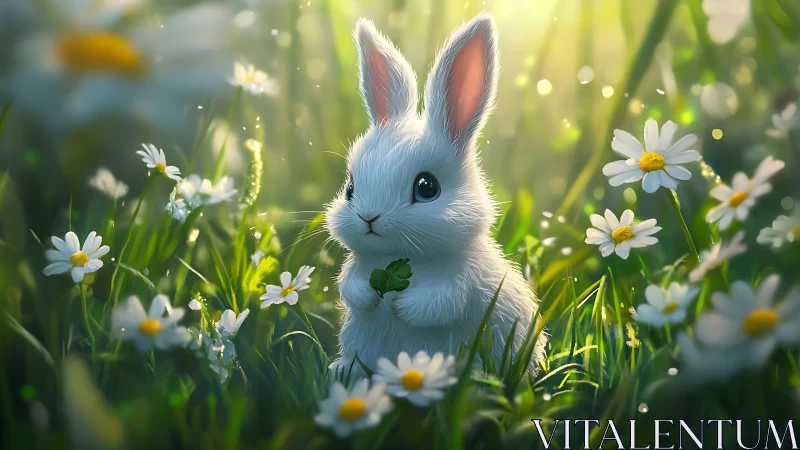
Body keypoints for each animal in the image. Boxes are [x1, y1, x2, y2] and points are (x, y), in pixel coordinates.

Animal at [324, 13, 547, 375]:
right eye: (351, 188)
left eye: (427, 188)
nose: (369, 218)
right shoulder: (357, 265)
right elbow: (348, 285)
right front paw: (371, 298)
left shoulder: (460, 281)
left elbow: (439, 304)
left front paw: (398, 306)